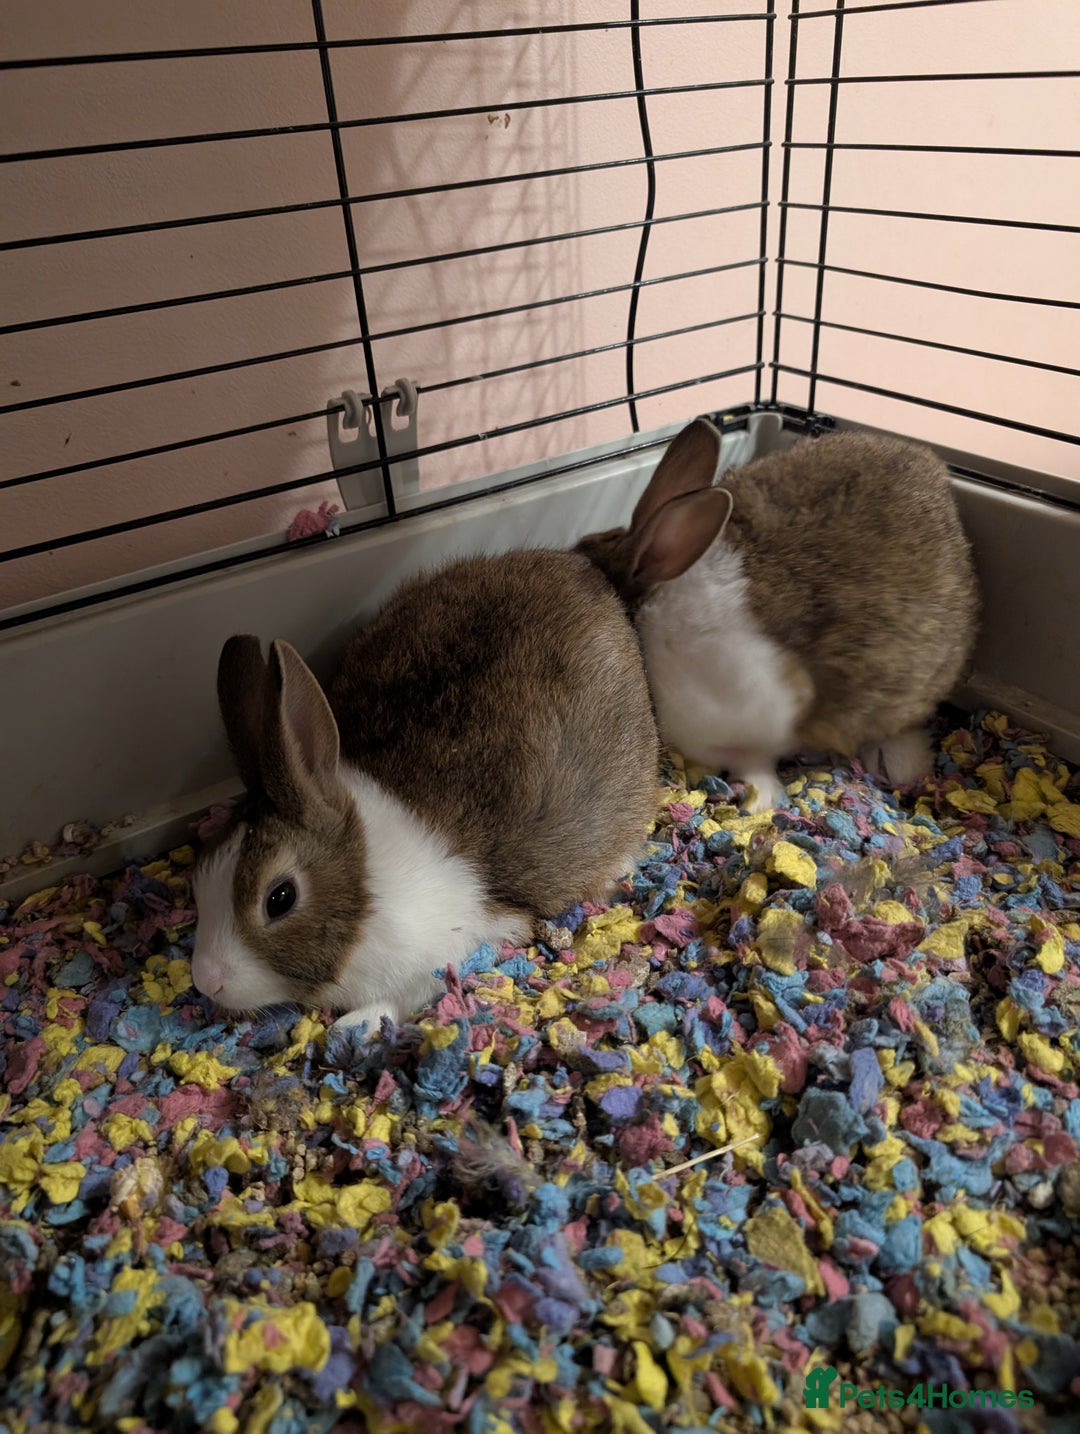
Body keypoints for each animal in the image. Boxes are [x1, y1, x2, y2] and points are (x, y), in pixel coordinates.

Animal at [190, 548, 660, 1035]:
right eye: (200, 870)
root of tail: (583, 566)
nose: (205, 980)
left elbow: (402, 996)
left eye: (279, 899)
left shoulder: (456, 950)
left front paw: (352, 1025)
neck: (367, 889)